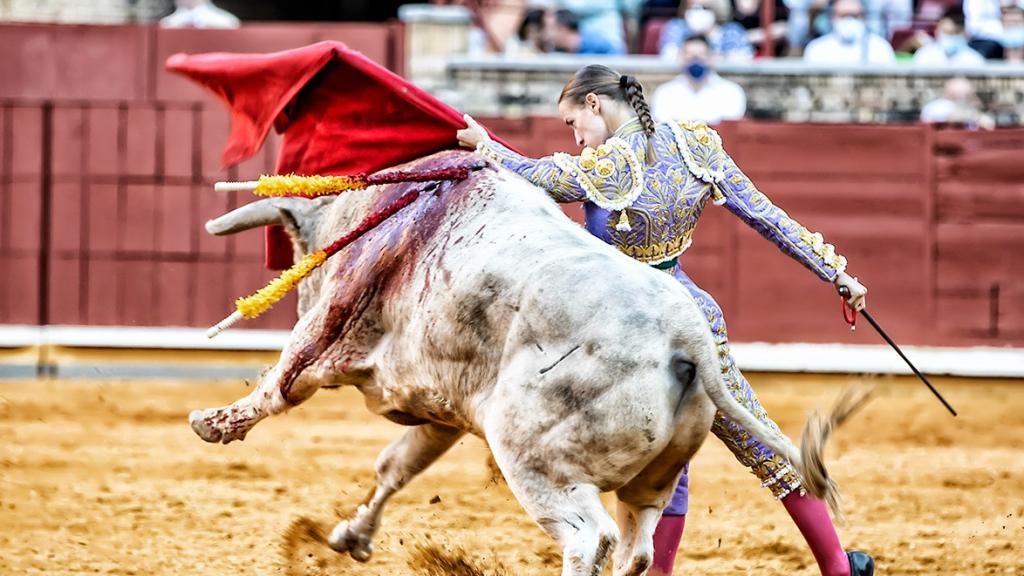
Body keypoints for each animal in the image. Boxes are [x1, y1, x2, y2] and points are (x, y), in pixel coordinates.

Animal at [190, 148, 847, 573]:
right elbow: (395, 467)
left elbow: (281, 382)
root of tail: (688, 336)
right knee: (637, 546)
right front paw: (352, 536)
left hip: (532, 459)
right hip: (652, 480)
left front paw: (214, 423)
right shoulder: (441, 411)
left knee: (590, 540)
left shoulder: (331, 326)